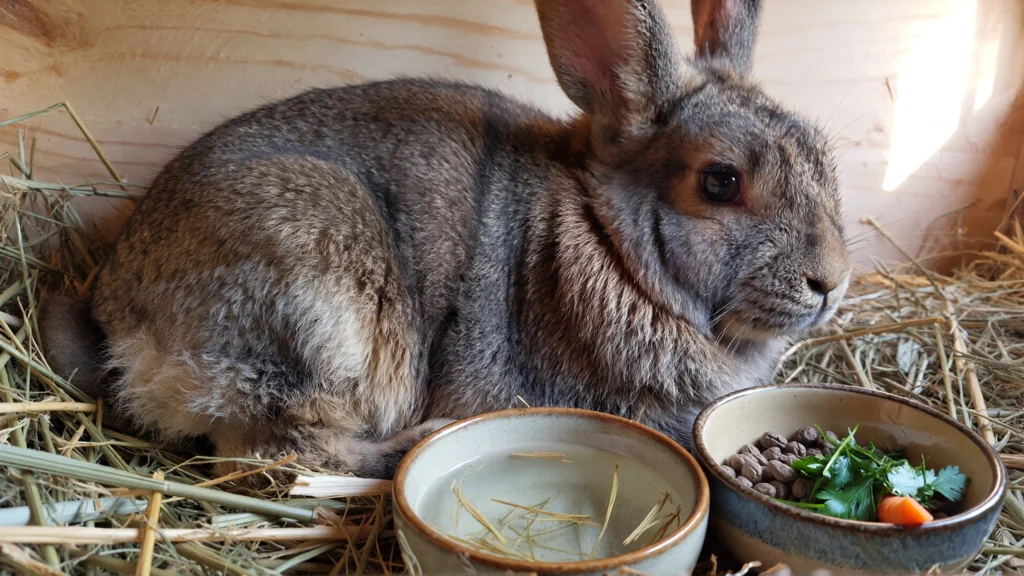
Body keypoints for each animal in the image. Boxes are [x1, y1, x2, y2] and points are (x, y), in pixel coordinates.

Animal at [42, 0, 850, 481]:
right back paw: (405, 446)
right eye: (720, 182)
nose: (831, 280)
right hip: (317, 302)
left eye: (822, 155)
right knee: (274, 451)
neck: (610, 243)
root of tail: (123, 317)